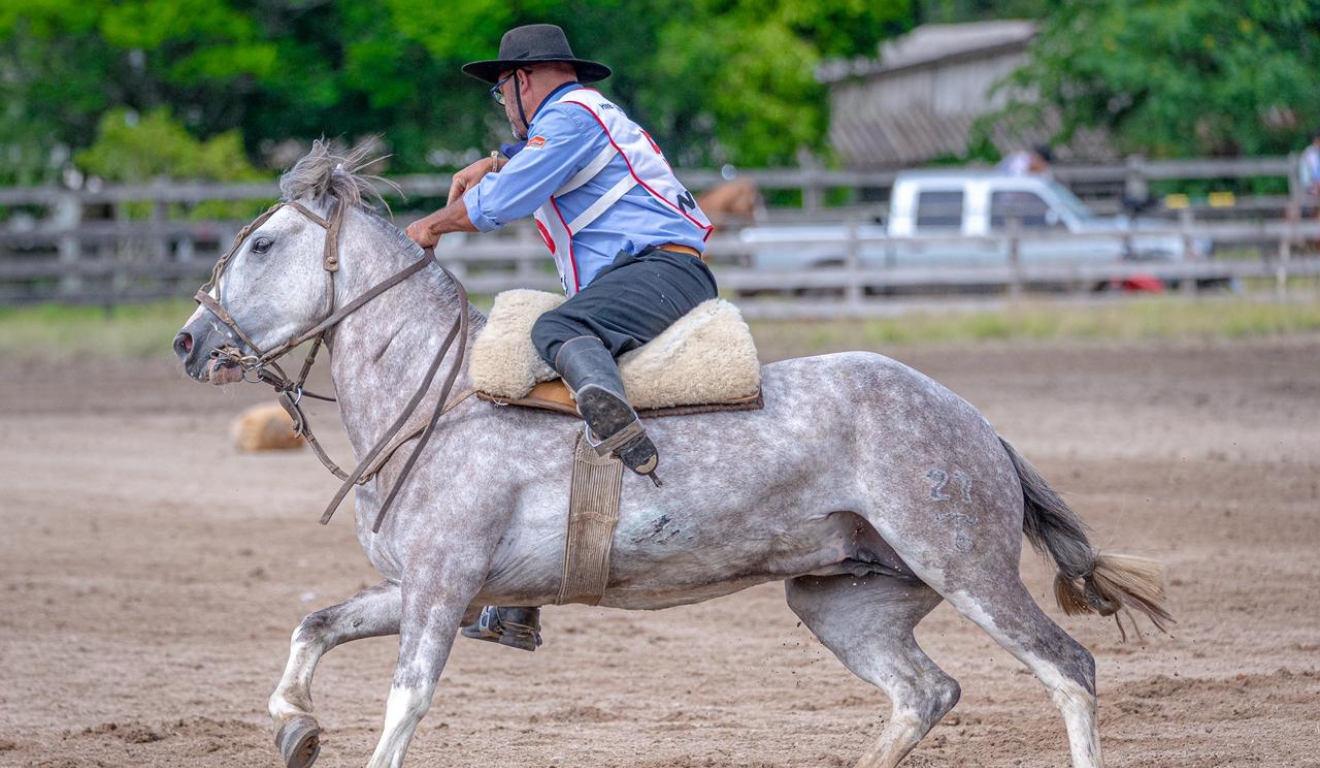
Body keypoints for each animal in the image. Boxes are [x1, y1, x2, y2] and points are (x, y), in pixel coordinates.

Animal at [173, 143, 1170, 768]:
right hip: (843, 601)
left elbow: (403, 703)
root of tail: (975, 422)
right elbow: (313, 629)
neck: (437, 394)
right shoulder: (421, 587)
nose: (189, 342)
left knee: (1069, 670)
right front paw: (295, 728)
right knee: (925, 694)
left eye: (263, 244)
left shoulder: (442, 586)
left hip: (967, 568)